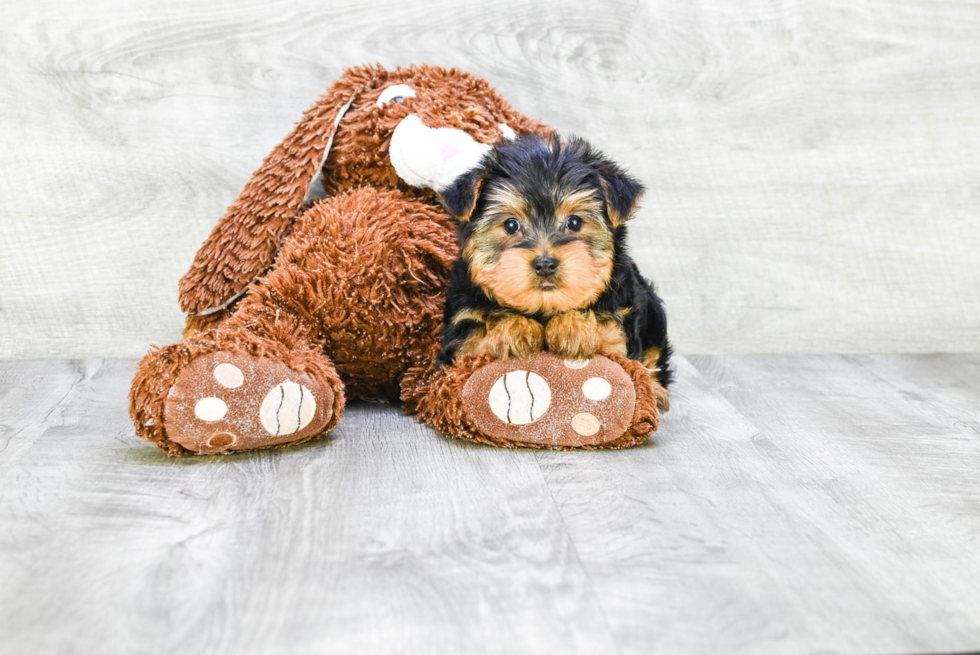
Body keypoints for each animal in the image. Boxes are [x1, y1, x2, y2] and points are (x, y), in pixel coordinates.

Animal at [438, 133, 672, 408]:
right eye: (511, 225)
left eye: (574, 222)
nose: (545, 264)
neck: (545, 307)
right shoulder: (458, 333)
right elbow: (473, 336)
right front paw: (513, 327)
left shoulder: (621, 330)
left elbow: (609, 332)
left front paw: (572, 328)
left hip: (653, 311)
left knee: (654, 354)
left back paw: (655, 391)